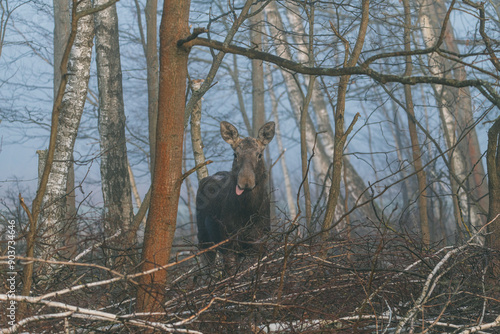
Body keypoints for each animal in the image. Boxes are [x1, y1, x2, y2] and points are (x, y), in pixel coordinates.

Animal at [195, 121, 276, 272]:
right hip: (204, 240)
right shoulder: (228, 244)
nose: (245, 182)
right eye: (235, 154)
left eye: (259, 155)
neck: (248, 213)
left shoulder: (261, 241)